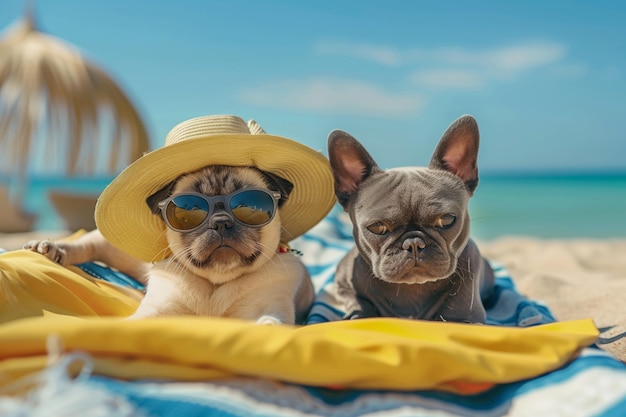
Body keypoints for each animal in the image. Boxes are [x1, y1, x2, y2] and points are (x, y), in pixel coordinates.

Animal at [25, 166, 314, 324]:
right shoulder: (161, 308)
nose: (221, 223)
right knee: (85, 243)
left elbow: (270, 321)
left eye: (252, 208)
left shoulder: (269, 304)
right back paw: (52, 248)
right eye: (187, 213)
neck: (215, 284)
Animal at [326, 115, 492, 324]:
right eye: (377, 227)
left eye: (446, 220)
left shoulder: (468, 318)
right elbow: (356, 301)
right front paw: (357, 313)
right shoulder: (343, 284)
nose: (413, 243)